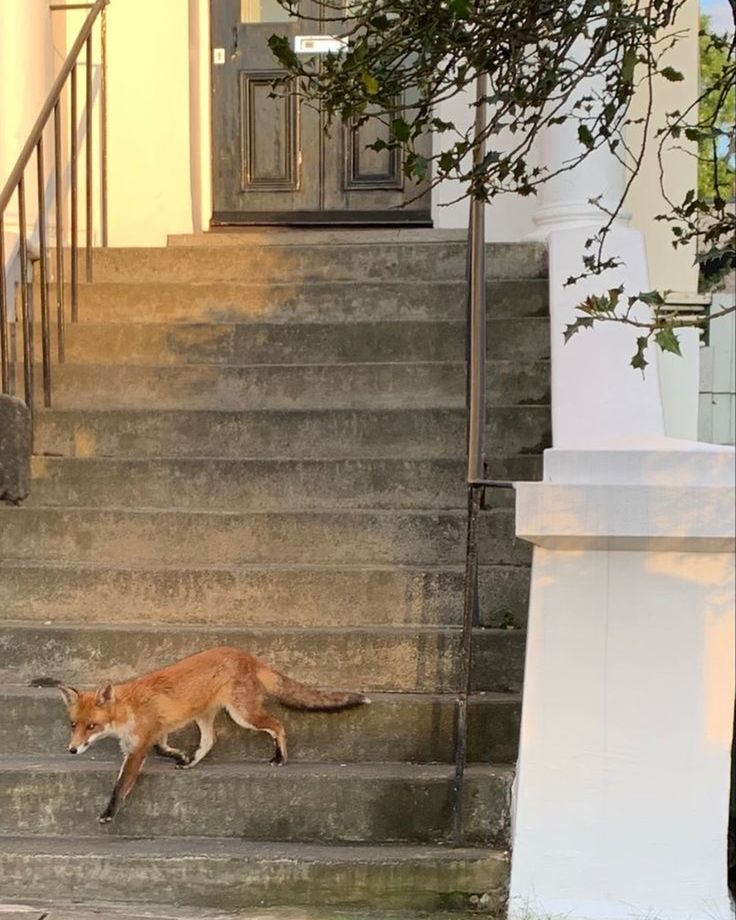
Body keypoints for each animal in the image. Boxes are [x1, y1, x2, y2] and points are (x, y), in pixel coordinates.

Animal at [59, 648, 368, 828]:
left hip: (243, 715)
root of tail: (247, 655)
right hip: (204, 715)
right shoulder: (154, 733)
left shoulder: (138, 749)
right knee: (210, 741)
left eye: (91, 726)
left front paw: (108, 813)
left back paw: (280, 757)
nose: (72, 750)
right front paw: (180, 756)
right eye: (74, 725)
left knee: (277, 725)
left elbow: (121, 785)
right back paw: (191, 762)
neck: (128, 709)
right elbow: (163, 748)